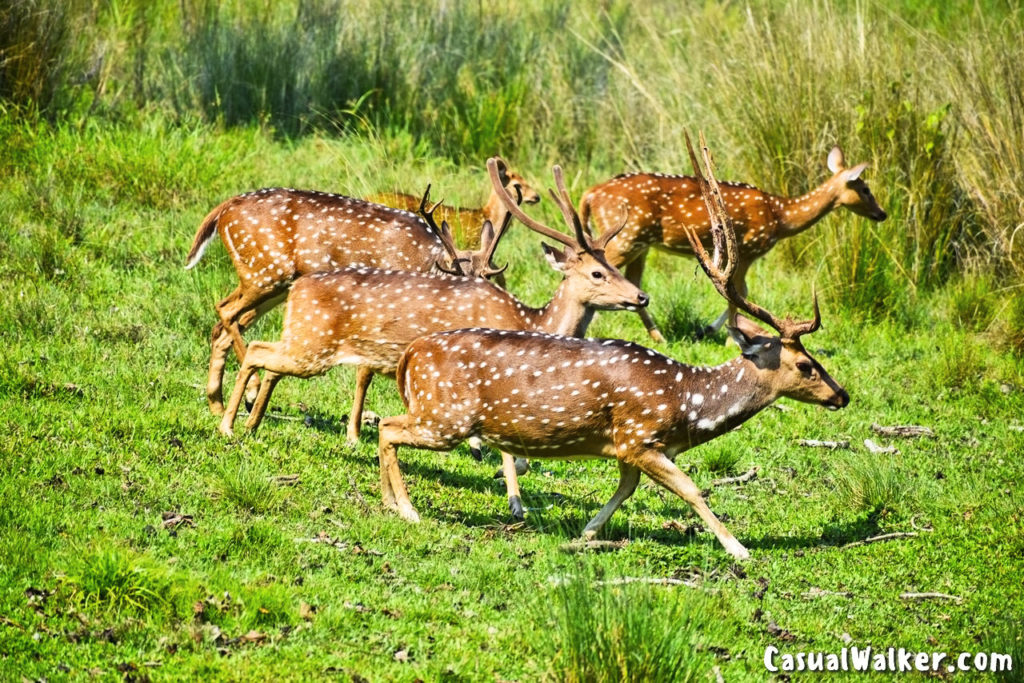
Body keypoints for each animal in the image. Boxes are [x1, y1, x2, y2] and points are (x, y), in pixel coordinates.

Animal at [185, 184, 512, 413]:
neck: (423, 261)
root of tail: (223, 210)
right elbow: (367, 370)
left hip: (273, 284)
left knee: (226, 323)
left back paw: (217, 403)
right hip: (265, 271)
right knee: (226, 310)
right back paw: (249, 394)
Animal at [581, 143, 884, 342]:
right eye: (866, 189)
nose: (882, 213)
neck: (780, 217)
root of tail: (591, 193)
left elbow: (741, 292)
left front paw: (709, 330)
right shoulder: (750, 246)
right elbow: (740, 291)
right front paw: (729, 338)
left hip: (640, 243)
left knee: (633, 281)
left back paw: (658, 337)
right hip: (626, 236)